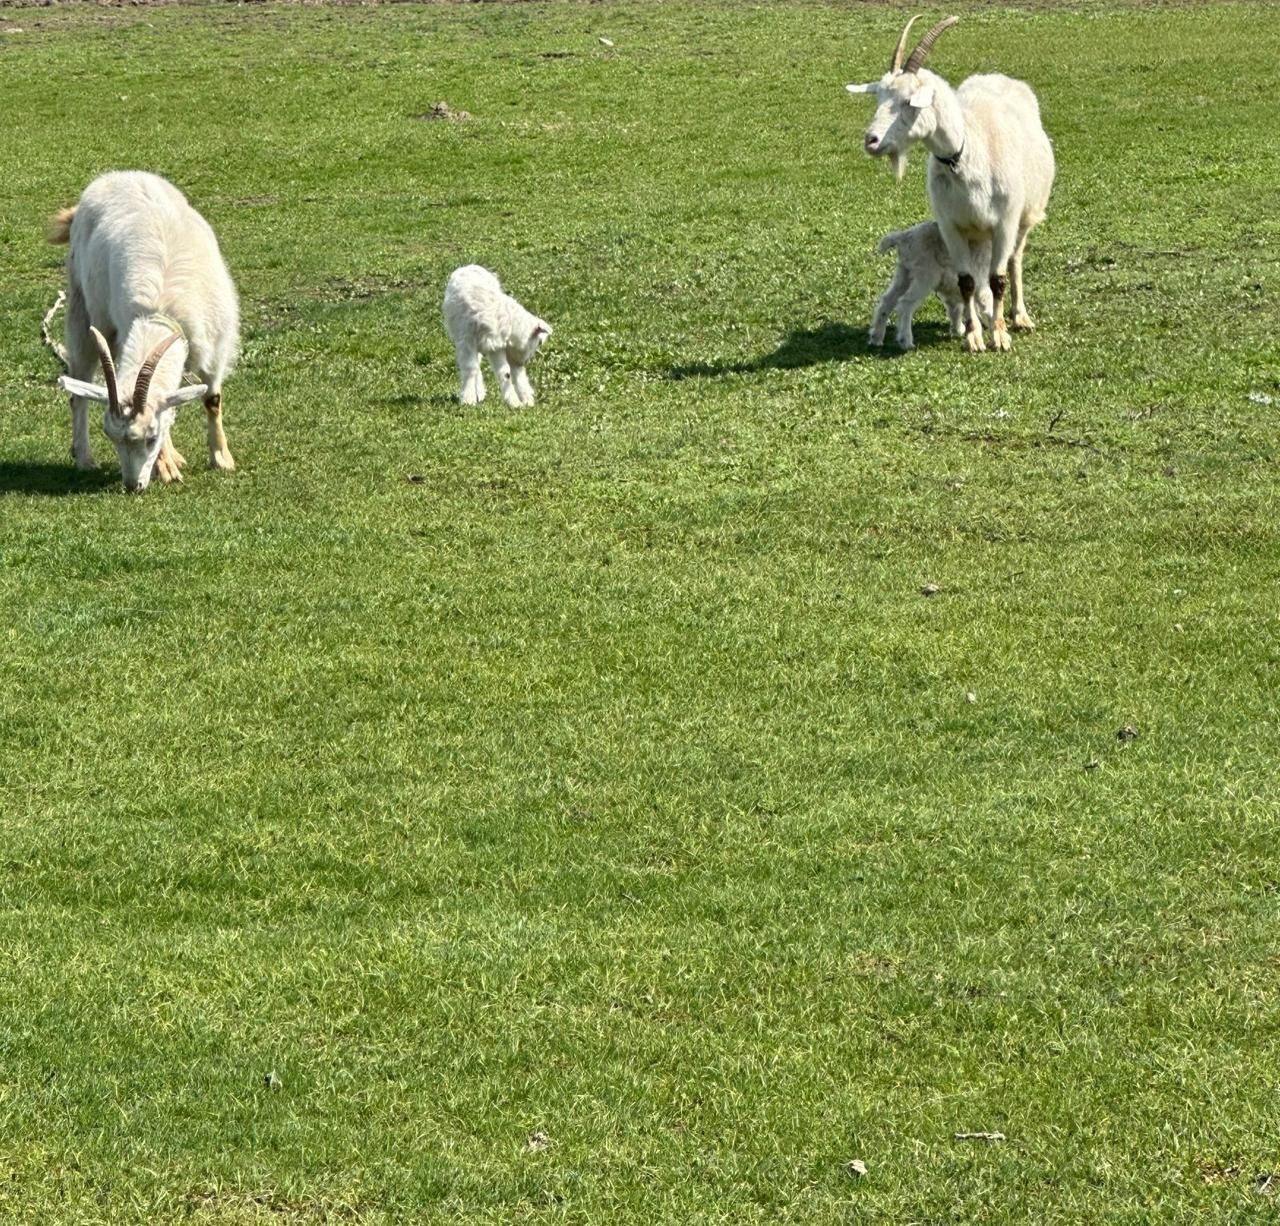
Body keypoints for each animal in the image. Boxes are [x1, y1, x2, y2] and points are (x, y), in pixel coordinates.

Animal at [49, 168, 240, 493]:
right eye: (111, 437)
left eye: (151, 437)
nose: (131, 485)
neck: (161, 314)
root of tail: (112, 176)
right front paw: (166, 467)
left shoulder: (216, 346)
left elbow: (211, 399)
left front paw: (221, 459)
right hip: (83, 307)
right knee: (78, 389)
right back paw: (84, 458)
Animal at [445, 263, 550, 406]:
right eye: (539, 342)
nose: (524, 363)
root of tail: (468, 266)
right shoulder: (467, 340)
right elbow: (470, 368)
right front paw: (468, 399)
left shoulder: (496, 345)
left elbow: (505, 372)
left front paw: (516, 402)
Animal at [870, 216, 998, 348]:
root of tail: (903, 237)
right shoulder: (981, 281)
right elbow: (987, 303)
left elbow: (956, 308)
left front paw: (958, 330)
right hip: (925, 277)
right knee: (905, 303)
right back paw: (906, 341)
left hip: (904, 273)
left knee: (887, 301)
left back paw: (876, 338)